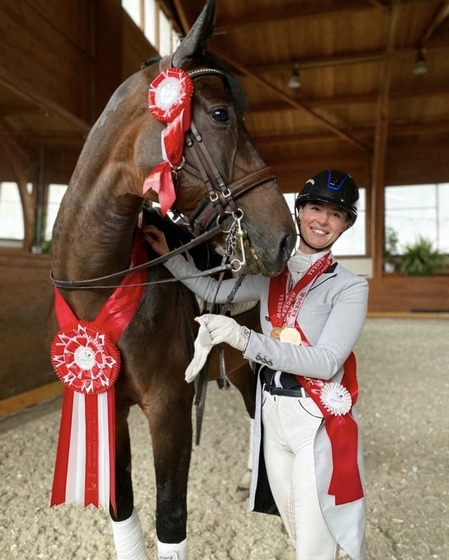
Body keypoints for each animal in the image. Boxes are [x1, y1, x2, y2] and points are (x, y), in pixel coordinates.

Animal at [49, 2, 296, 556]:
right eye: (221, 115)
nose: (285, 238)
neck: (98, 286)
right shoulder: (106, 405)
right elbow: (121, 505)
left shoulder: (169, 410)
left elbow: (170, 518)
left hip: (254, 363)